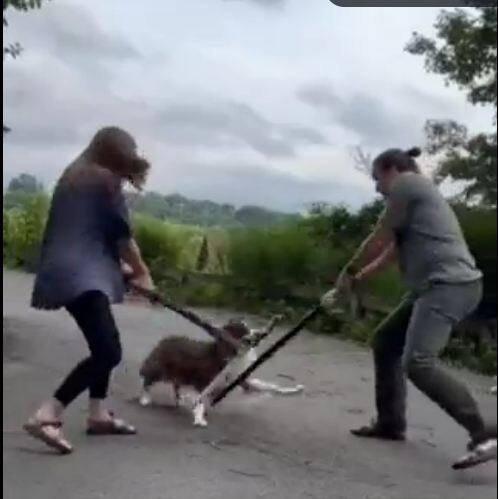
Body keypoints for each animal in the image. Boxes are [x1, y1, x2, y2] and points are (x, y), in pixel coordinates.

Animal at [138, 316, 306, 426]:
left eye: (251, 328)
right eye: (243, 329)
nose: (258, 334)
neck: (234, 353)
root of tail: (164, 340)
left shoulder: (241, 379)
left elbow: (271, 386)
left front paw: (294, 389)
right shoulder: (205, 380)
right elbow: (200, 399)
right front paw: (199, 419)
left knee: (175, 385)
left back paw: (179, 401)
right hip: (159, 368)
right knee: (147, 381)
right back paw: (145, 399)